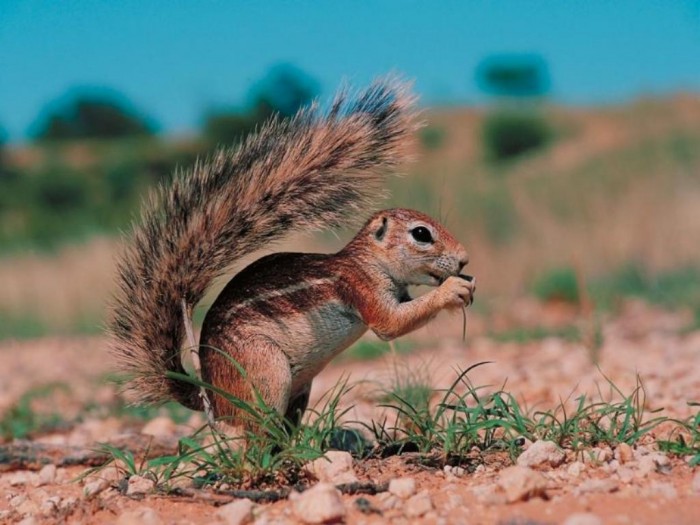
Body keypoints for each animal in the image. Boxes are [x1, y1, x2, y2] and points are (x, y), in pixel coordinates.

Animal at [112, 79, 476, 430]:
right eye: (421, 234)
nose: (464, 259)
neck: (368, 262)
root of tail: (212, 395)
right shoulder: (360, 287)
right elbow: (391, 324)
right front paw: (453, 289)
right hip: (265, 371)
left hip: (299, 391)